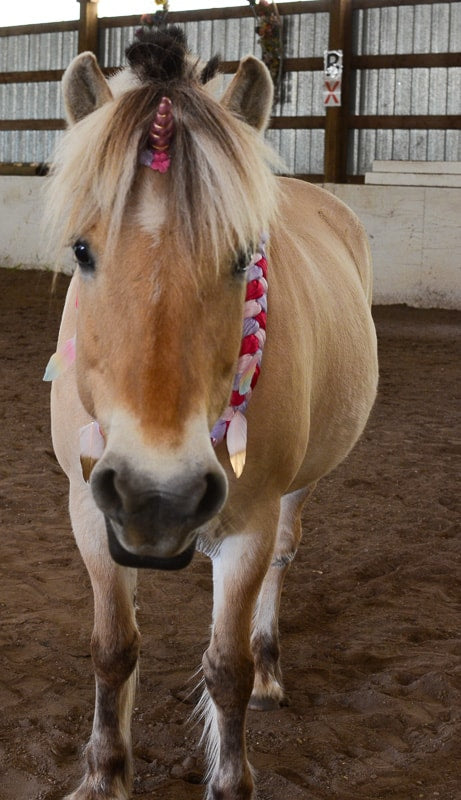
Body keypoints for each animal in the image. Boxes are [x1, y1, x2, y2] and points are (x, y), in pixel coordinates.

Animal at [45, 26, 378, 800]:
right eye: (82, 250)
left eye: (241, 257)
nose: (157, 495)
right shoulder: (88, 510)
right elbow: (113, 650)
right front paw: (104, 774)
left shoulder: (247, 526)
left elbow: (226, 669)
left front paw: (230, 779)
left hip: (293, 494)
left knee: (281, 566)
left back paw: (272, 667)